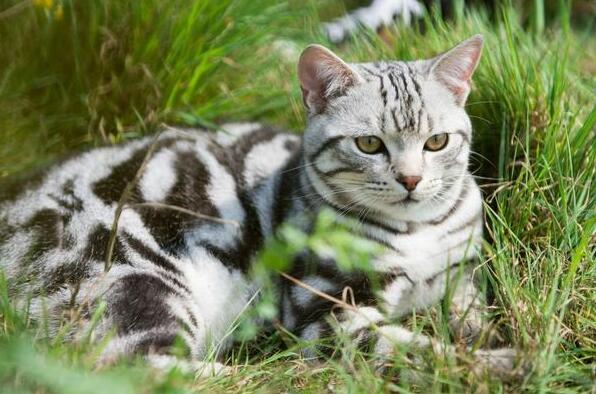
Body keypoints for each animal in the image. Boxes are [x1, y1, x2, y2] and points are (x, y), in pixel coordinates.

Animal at [0, 36, 516, 376]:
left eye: (437, 142)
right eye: (369, 144)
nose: (410, 180)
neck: (418, 230)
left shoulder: (463, 280)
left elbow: (473, 320)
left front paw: (488, 341)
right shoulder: (324, 310)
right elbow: (414, 350)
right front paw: (502, 363)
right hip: (133, 281)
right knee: (130, 366)